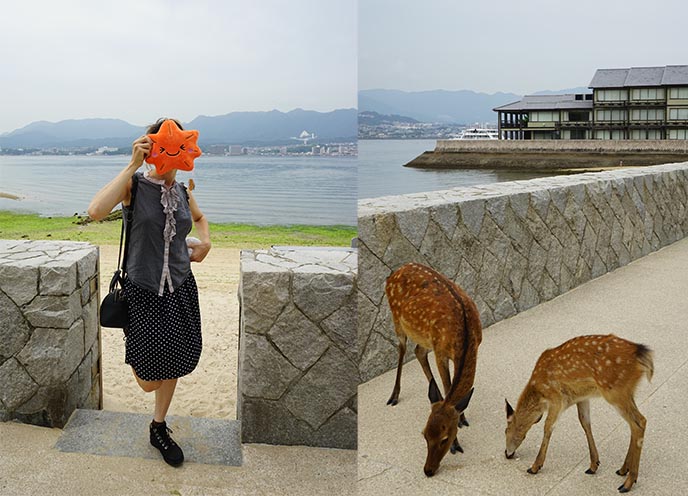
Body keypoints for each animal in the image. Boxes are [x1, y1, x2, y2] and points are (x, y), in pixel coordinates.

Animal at [384, 262, 482, 474]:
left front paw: (462, 419)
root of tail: (393, 274)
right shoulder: (441, 353)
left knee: (418, 351)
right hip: (397, 318)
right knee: (402, 348)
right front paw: (458, 443)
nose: (428, 470)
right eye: (424, 435)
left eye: (444, 438)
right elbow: (448, 387)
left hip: (424, 336)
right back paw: (394, 396)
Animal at [502, 334, 652, 492]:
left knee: (640, 422)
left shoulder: (557, 398)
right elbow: (585, 422)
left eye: (506, 431)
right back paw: (623, 470)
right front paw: (593, 465)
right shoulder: (582, 397)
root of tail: (641, 353)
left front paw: (535, 466)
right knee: (634, 424)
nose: (507, 453)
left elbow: (548, 427)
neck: (539, 392)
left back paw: (628, 482)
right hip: (627, 392)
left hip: (615, 391)